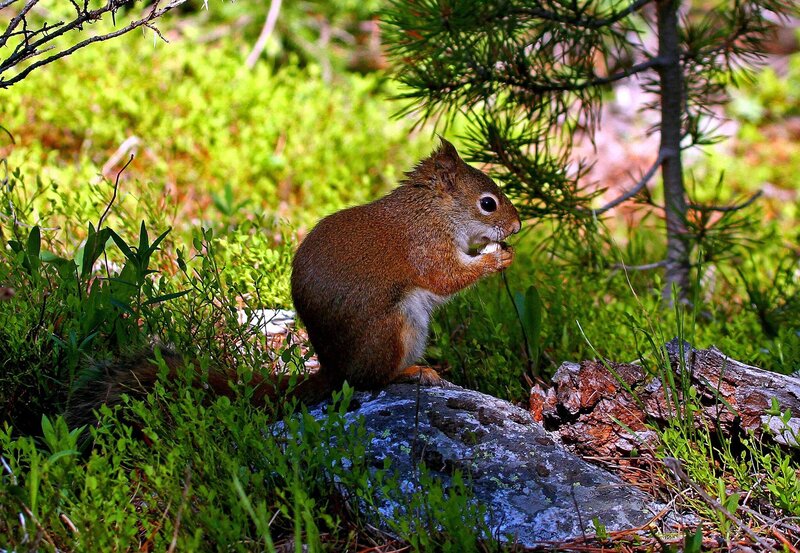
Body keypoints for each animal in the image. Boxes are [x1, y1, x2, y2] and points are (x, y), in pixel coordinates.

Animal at [65, 138, 521, 429]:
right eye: (488, 203)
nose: (516, 226)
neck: (433, 211)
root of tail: (334, 369)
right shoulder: (425, 247)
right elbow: (446, 276)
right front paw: (497, 258)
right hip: (395, 328)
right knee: (371, 380)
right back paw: (412, 372)